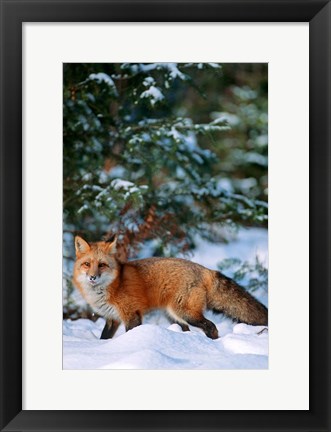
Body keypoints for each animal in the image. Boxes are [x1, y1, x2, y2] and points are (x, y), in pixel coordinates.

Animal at [73, 235, 270, 340]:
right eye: (87, 264)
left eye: (102, 265)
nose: (92, 277)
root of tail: (204, 269)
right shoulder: (112, 319)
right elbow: (104, 337)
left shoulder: (131, 315)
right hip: (174, 316)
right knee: (188, 329)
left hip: (185, 313)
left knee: (211, 326)